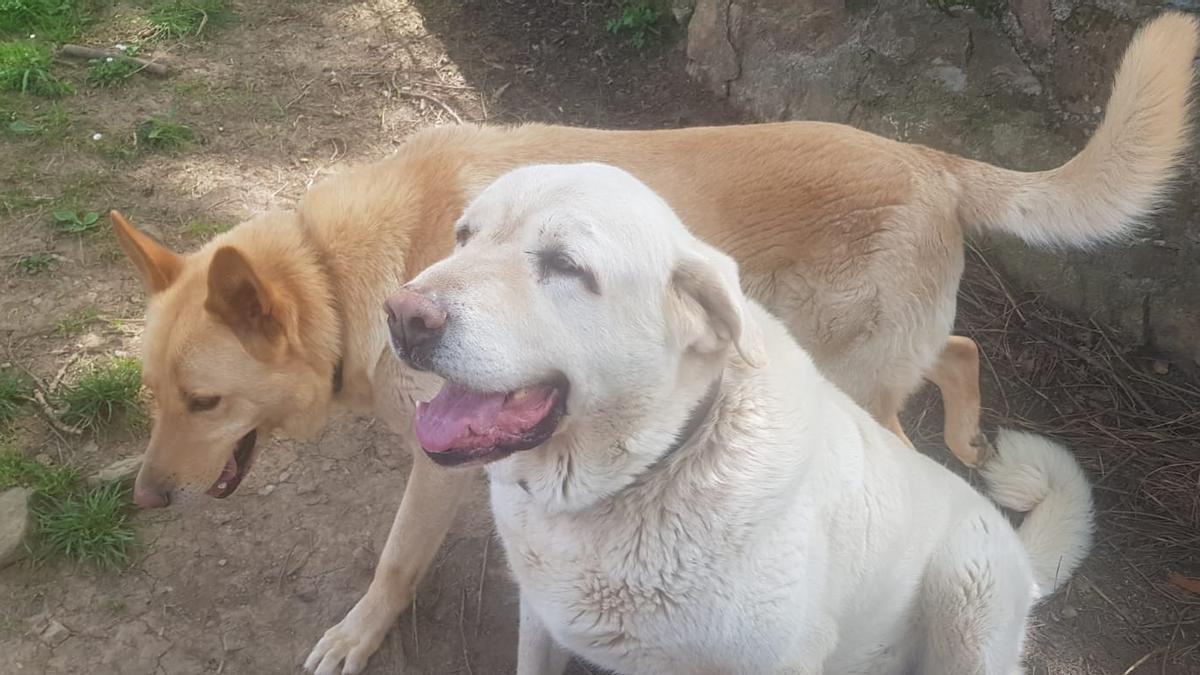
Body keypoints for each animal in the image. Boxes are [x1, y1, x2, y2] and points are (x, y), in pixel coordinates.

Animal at [386, 164, 1099, 672]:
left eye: (566, 265)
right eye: (464, 235)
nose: (402, 315)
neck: (641, 478)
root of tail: (1022, 557)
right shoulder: (540, 621)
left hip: (967, 594)